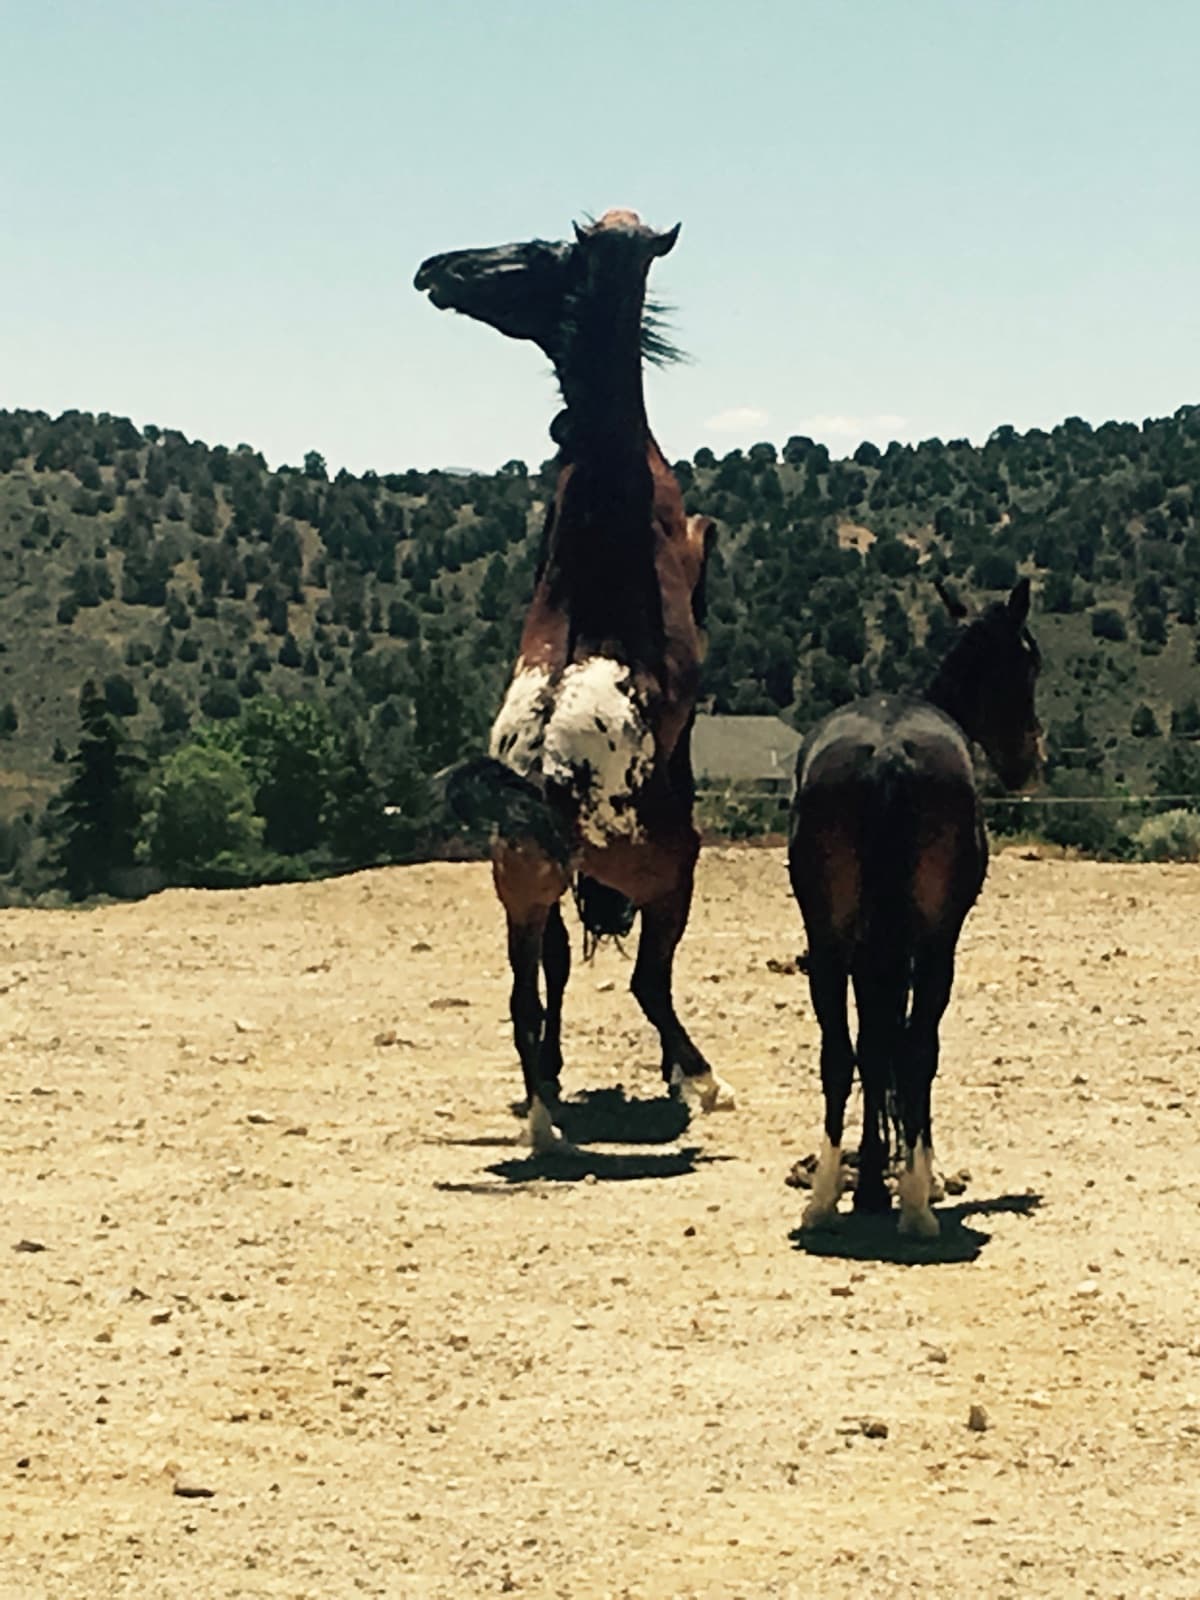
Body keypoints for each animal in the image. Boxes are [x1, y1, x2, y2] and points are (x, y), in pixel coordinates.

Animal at [415, 209, 731, 1151]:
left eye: (533, 250)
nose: (433, 269)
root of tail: (546, 781)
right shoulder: (696, 542)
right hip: (664, 875)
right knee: (648, 982)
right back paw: (699, 1079)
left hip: (522, 890)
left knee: (532, 987)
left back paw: (545, 1107)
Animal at [788, 577, 1042, 1236]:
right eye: (1029, 663)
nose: (1029, 760)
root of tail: (887, 754)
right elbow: (901, 1050)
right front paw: (907, 1177)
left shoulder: (865, 950)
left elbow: (871, 1048)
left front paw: (873, 1180)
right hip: (932, 948)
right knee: (917, 1049)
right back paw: (918, 1204)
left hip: (829, 945)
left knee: (841, 1053)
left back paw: (824, 1200)